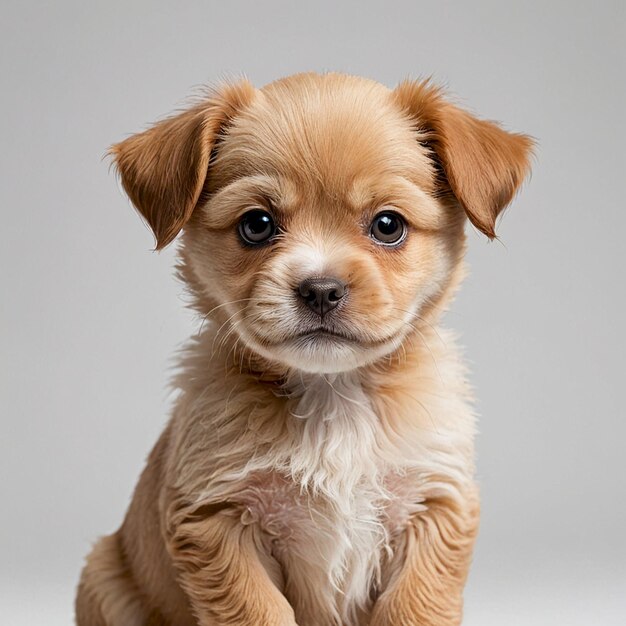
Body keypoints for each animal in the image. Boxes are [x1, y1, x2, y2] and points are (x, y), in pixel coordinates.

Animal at [74, 70, 532, 620]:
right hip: (104, 578)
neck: (334, 395)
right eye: (256, 225)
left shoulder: (434, 504)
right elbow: (260, 612)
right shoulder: (219, 519)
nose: (321, 289)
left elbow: (412, 608)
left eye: (388, 225)